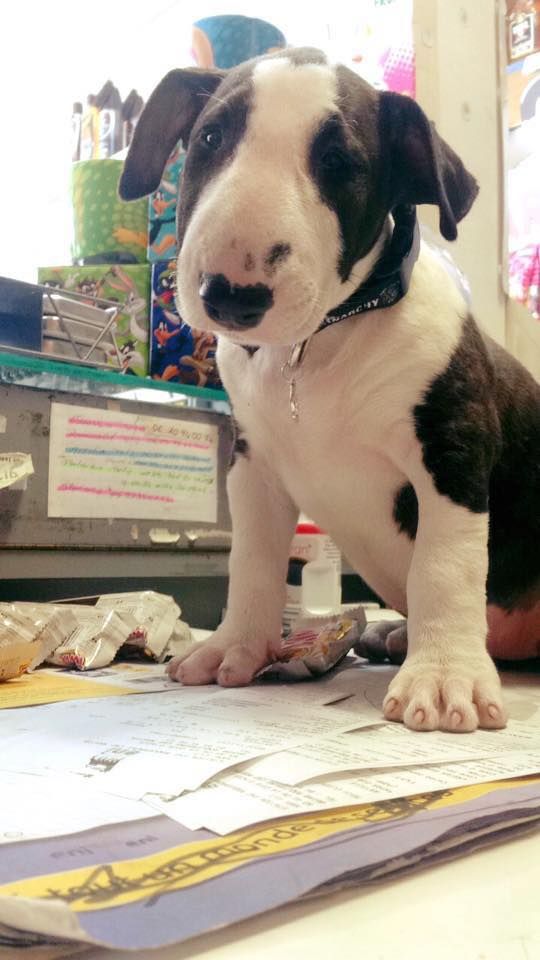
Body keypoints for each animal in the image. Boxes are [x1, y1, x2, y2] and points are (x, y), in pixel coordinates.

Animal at [120, 47, 540, 731]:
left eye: (340, 165)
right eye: (210, 138)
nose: (230, 294)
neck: (317, 345)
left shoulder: (451, 452)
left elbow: (444, 566)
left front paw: (443, 677)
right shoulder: (254, 469)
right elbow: (252, 562)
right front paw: (235, 646)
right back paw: (393, 637)